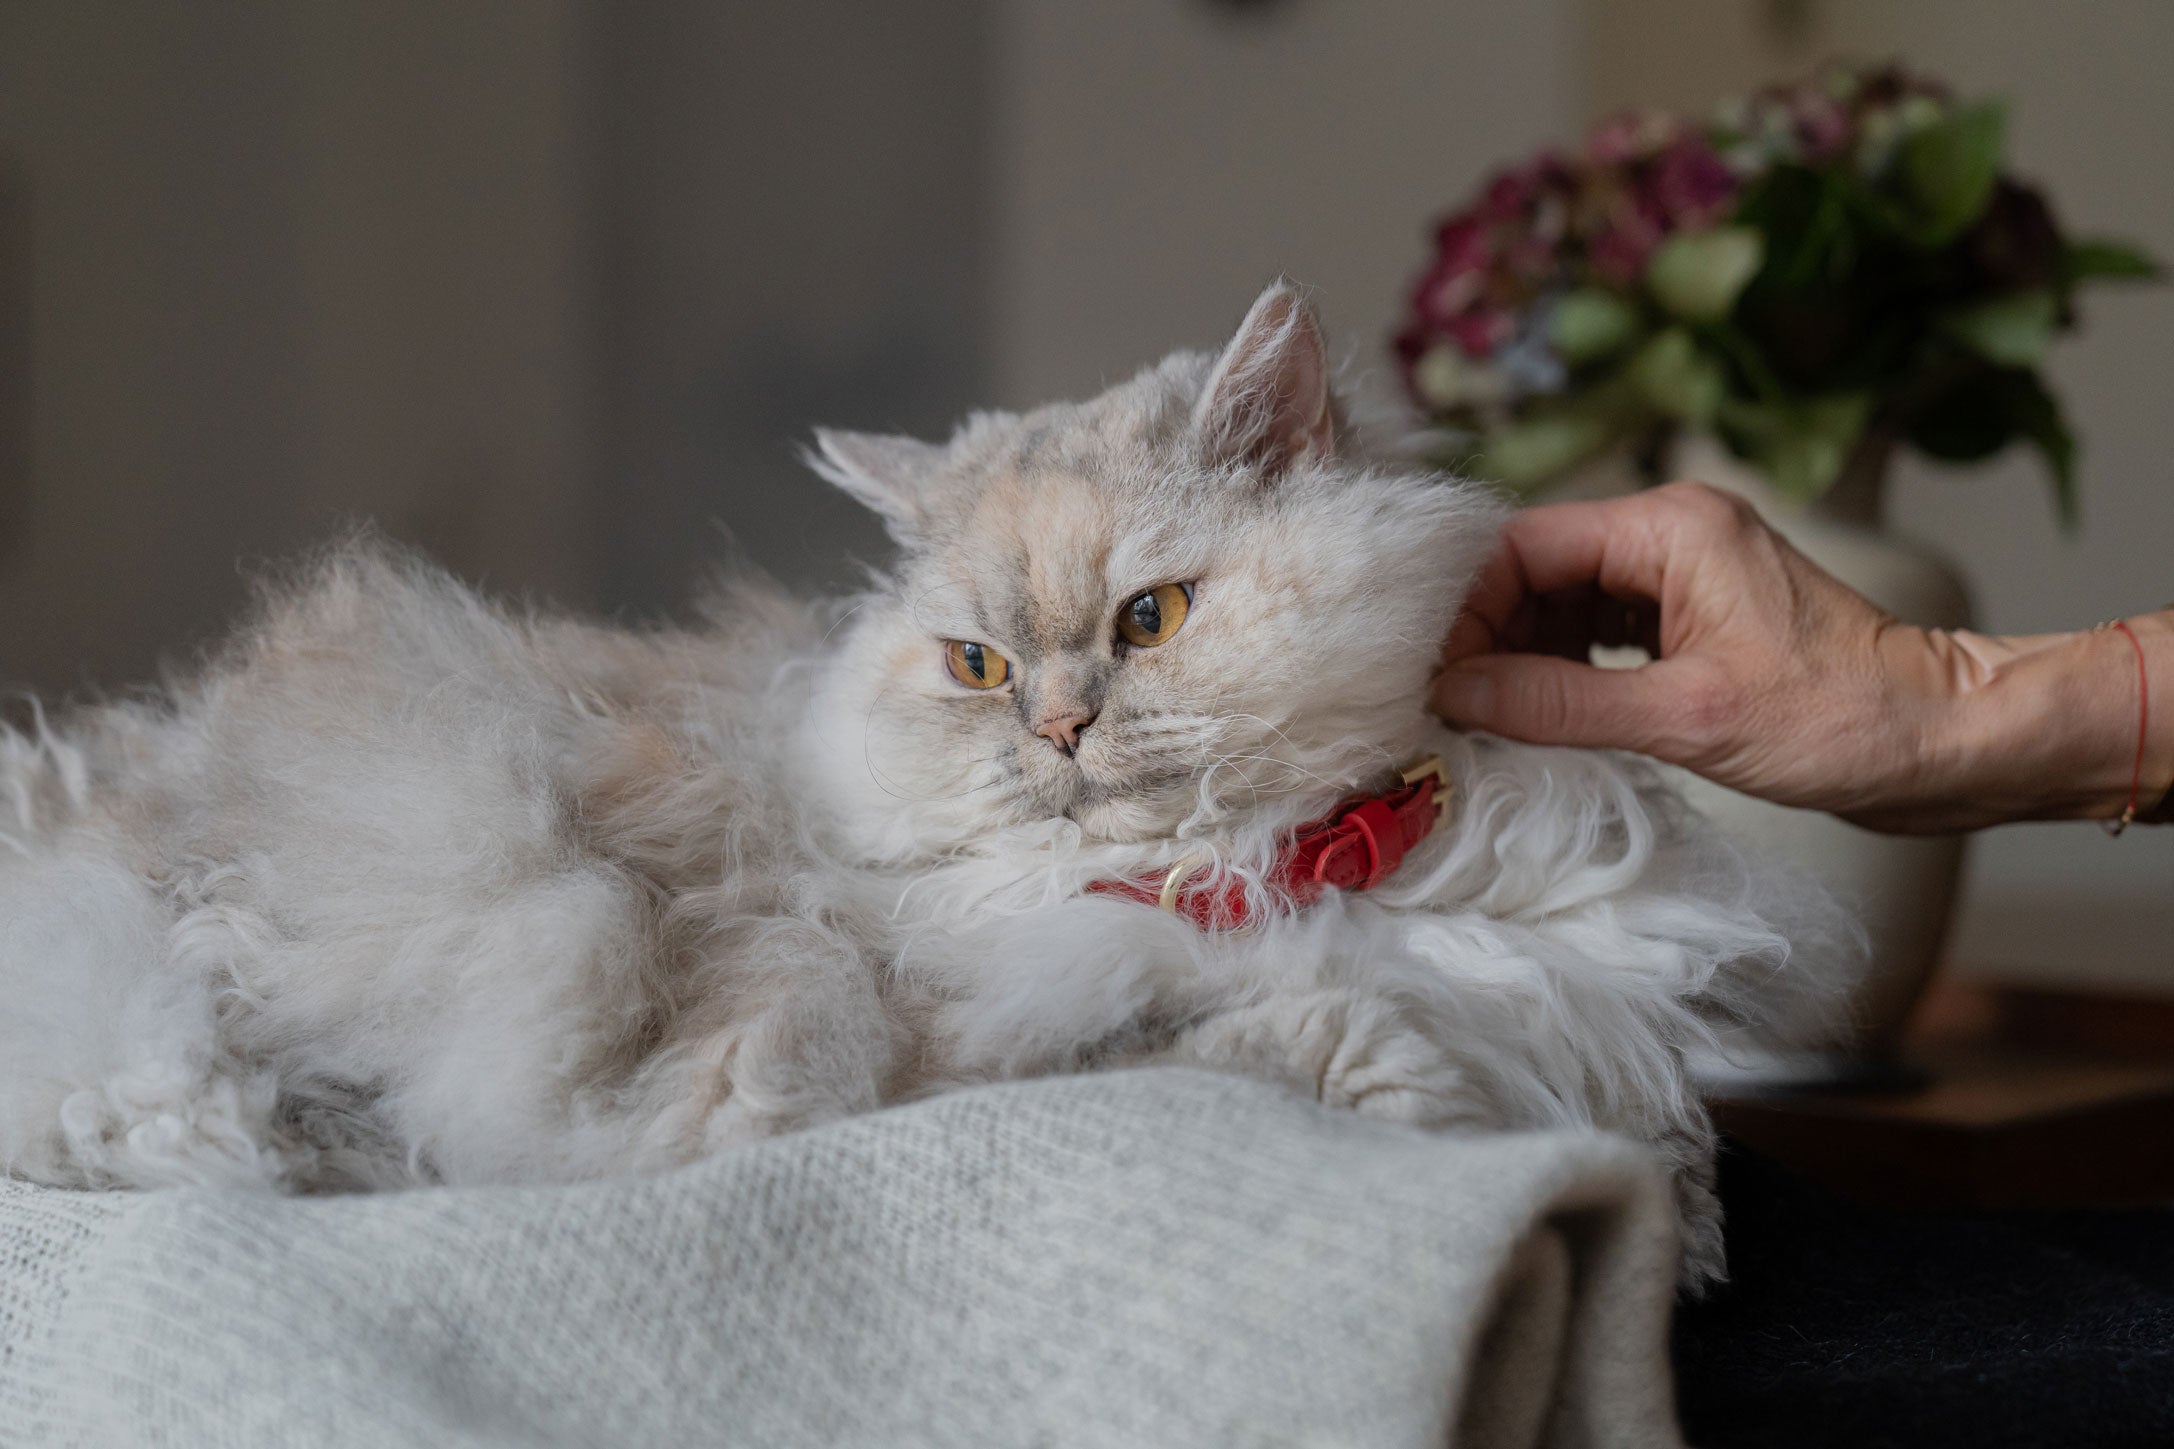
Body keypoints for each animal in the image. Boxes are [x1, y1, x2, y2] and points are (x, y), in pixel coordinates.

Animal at [0, 286, 1852, 1294]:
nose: (1054, 730)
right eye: (971, 664)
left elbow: (1654, 1126)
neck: (1297, 867)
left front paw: (1683, 1235)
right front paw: (1439, 1106)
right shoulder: (965, 1039)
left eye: (1147, 620)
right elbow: (1313, 1043)